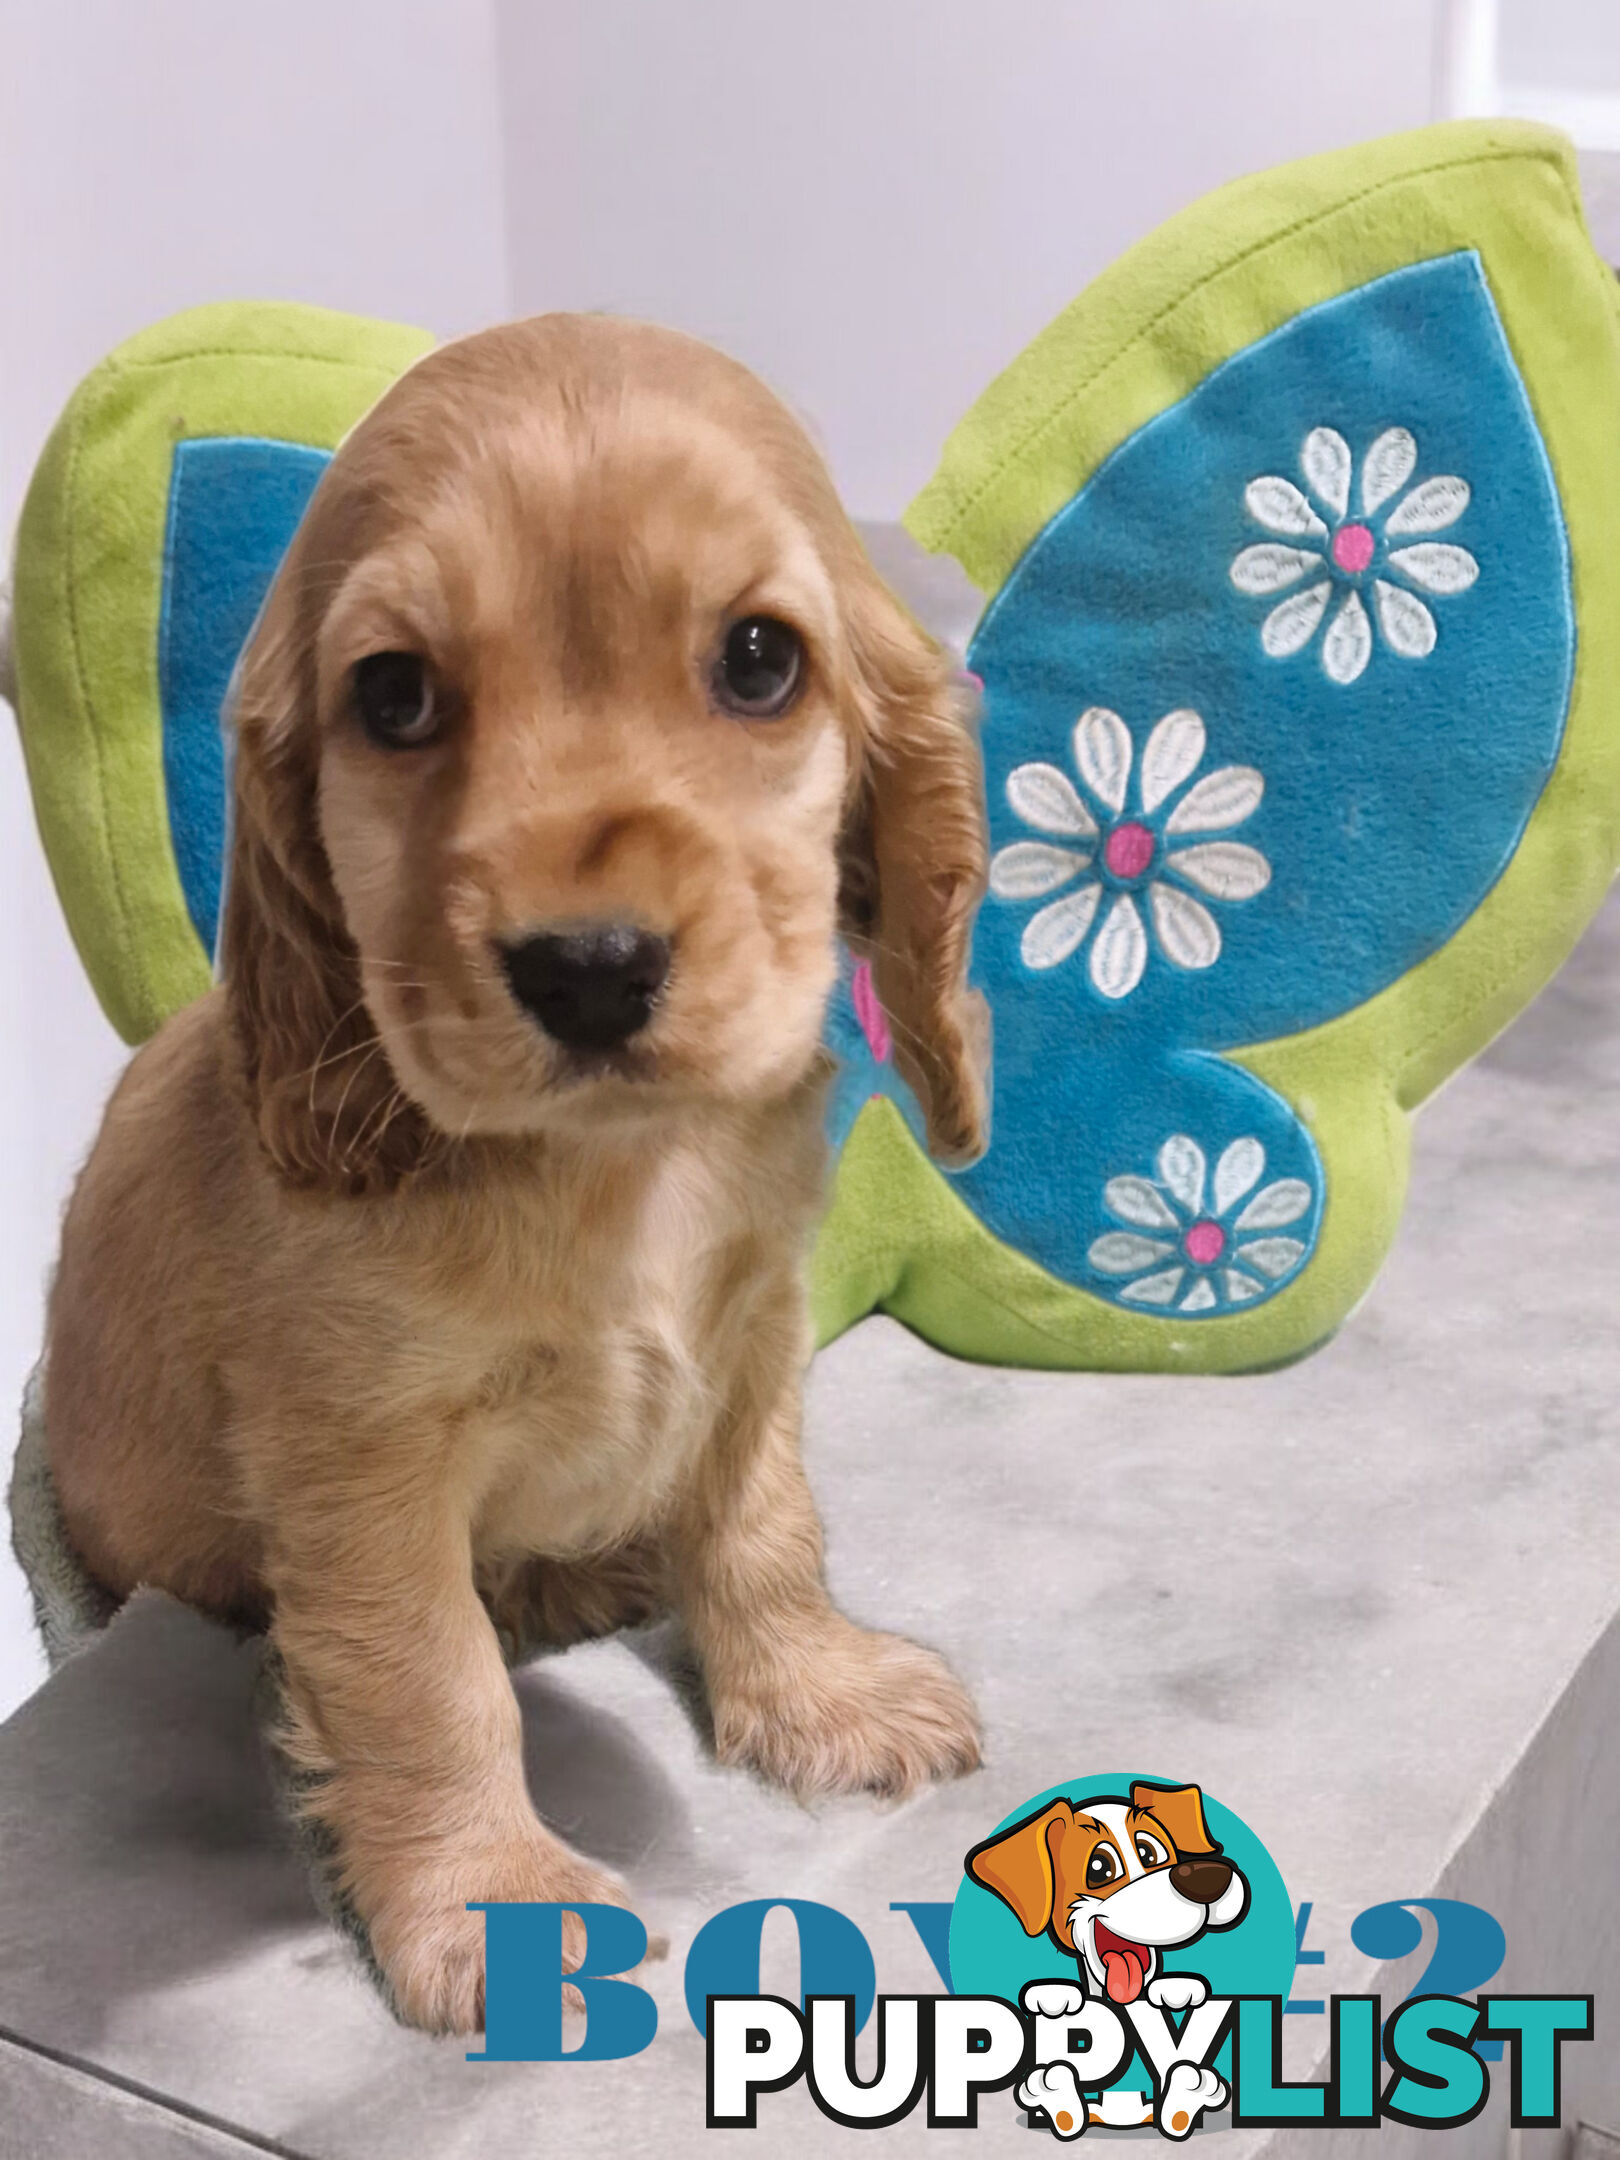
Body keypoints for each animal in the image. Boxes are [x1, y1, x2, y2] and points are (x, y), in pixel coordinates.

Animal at [41, 313, 989, 2030]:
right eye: (396, 694)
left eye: (761, 659)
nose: (591, 969)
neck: (616, 1174)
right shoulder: (360, 1458)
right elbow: (429, 1683)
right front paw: (498, 1902)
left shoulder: (755, 1330)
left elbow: (763, 1525)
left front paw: (815, 1692)